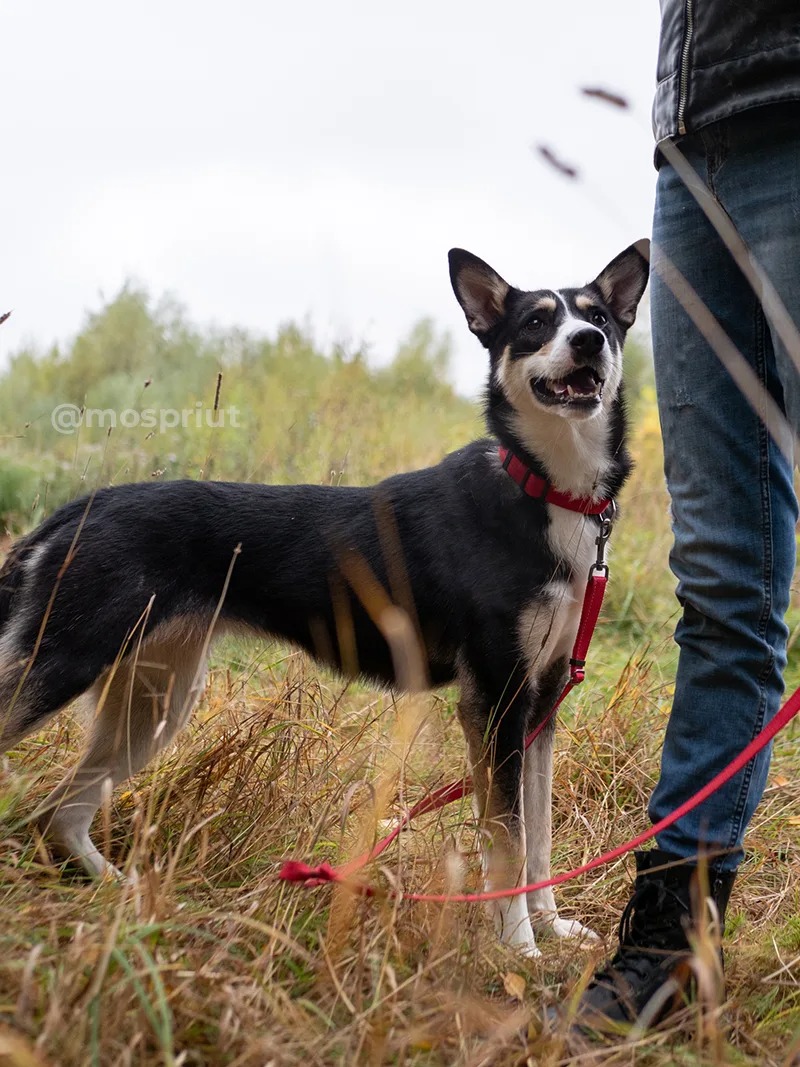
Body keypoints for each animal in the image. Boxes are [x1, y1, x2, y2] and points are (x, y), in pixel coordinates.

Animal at [0, 244, 652, 960]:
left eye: (597, 318)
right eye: (536, 323)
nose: (587, 341)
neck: (544, 490)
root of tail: (79, 510)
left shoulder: (542, 699)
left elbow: (537, 837)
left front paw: (552, 928)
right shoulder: (497, 699)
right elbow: (506, 842)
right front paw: (519, 950)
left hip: (155, 701)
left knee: (60, 813)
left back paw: (122, 895)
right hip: (67, 669)